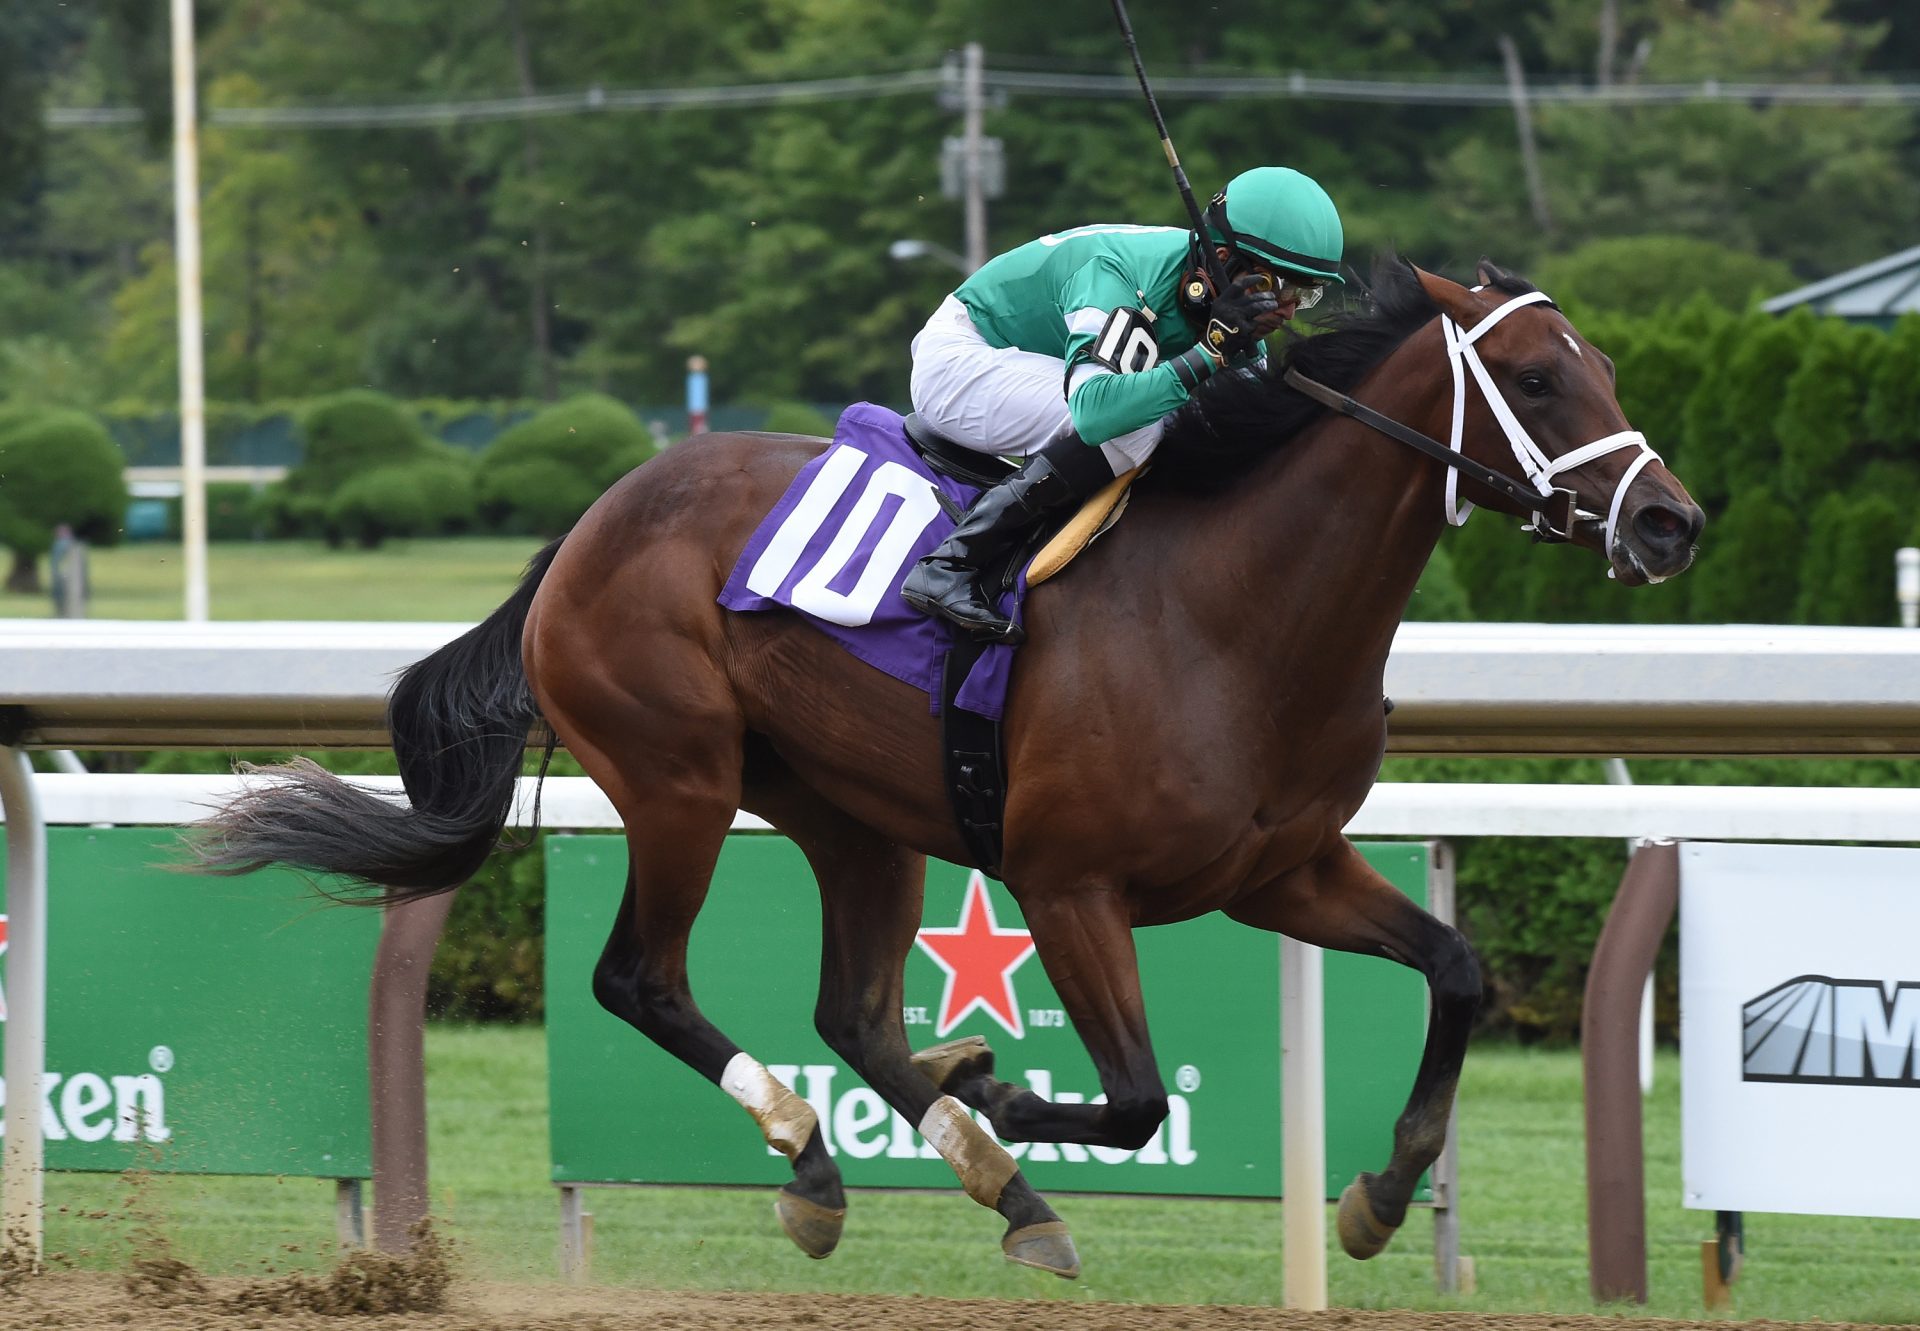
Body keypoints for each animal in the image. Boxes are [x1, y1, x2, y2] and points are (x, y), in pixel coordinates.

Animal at [198, 257, 1697, 1275]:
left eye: (1614, 367)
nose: (1672, 522)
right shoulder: (1067, 880)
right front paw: (1003, 1087)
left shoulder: (1282, 867)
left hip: (851, 812)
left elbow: (1457, 968)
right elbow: (1138, 1095)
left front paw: (1381, 1192)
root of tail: (590, 522)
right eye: (1542, 377)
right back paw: (840, 1152)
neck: (1235, 613)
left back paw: (977, 1173)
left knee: (853, 1012)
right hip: (679, 776)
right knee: (641, 978)